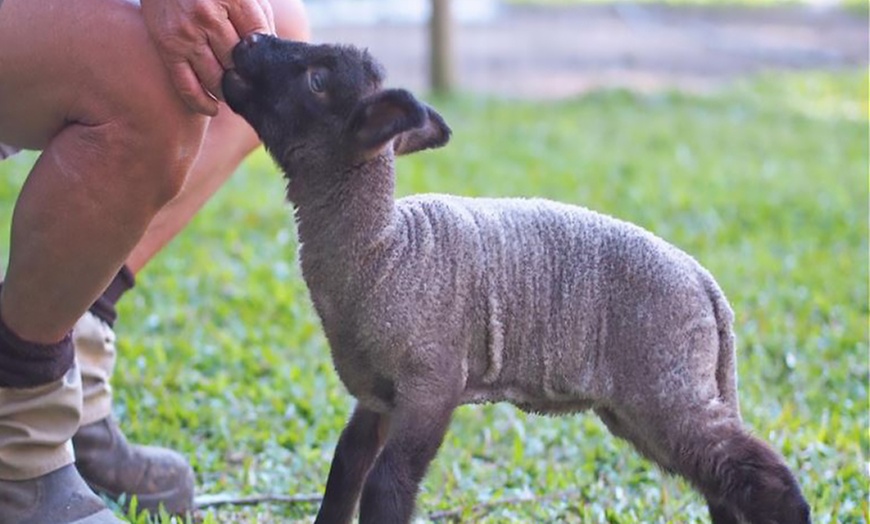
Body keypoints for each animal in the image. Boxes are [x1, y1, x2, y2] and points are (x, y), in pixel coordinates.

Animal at [223, 33, 812, 524]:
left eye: (317, 80)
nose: (247, 40)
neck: (383, 250)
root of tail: (709, 288)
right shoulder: (378, 394)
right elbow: (345, 470)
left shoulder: (432, 382)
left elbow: (387, 485)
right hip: (650, 405)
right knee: (724, 485)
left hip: (668, 389)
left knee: (765, 481)